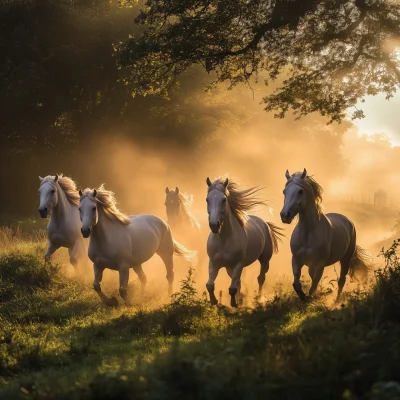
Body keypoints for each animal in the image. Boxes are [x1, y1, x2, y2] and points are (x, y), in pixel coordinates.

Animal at [205, 173, 282, 308]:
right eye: (207, 200)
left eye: (223, 200)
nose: (214, 225)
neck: (224, 239)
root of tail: (264, 224)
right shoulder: (214, 263)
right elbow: (210, 285)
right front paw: (215, 301)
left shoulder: (238, 265)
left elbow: (232, 288)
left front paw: (234, 303)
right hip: (229, 268)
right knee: (239, 281)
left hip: (265, 260)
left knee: (261, 278)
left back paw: (258, 299)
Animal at [280, 167, 370, 302]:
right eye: (284, 192)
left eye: (300, 191)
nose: (285, 215)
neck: (308, 234)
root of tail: (348, 222)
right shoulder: (296, 260)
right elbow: (296, 284)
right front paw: (303, 297)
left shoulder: (320, 265)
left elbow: (313, 287)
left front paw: (310, 299)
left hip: (345, 259)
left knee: (341, 280)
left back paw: (336, 302)